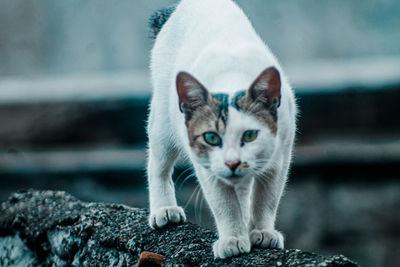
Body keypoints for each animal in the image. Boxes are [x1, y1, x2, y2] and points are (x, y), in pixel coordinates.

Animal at [145, 0, 296, 260]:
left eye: (250, 135)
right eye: (211, 137)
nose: (232, 162)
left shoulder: (279, 158)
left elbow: (266, 199)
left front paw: (261, 232)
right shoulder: (207, 168)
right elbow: (224, 204)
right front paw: (233, 239)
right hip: (163, 125)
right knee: (157, 166)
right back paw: (164, 210)